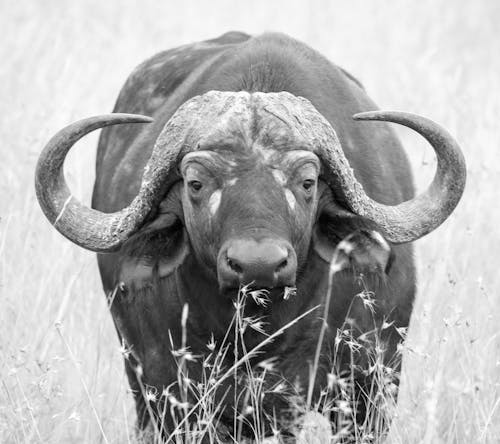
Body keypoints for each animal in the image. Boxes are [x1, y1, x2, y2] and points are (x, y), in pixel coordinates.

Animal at [34, 32, 464, 440]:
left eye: (308, 182)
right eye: (195, 183)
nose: (259, 265)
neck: (263, 330)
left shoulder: (367, 393)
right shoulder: (174, 393)